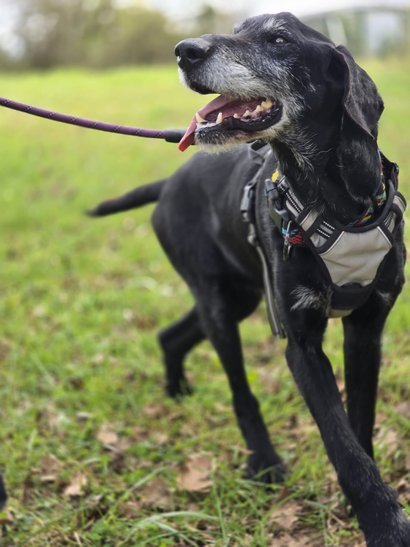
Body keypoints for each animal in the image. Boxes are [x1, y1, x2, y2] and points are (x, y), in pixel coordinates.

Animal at [91, 12, 410, 546]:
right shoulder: (301, 346)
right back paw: (263, 460)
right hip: (221, 308)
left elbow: (359, 426)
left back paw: (176, 390)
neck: (333, 199)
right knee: (241, 392)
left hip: (235, 297)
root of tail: (170, 183)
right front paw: (384, 523)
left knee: (172, 335)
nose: (185, 51)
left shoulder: (367, 329)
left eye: (278, 39)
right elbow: (341, 442)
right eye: (236, 28)